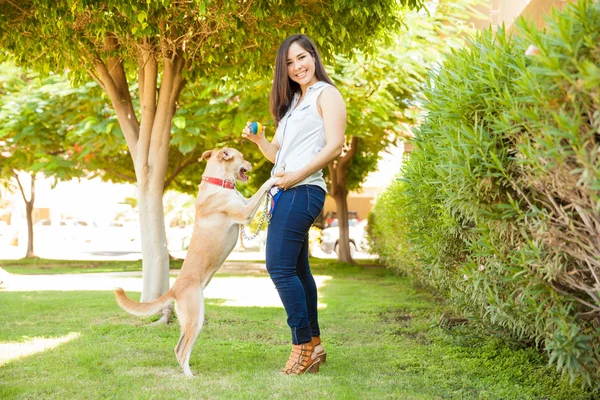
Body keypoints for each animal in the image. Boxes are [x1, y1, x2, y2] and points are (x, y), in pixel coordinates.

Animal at [115, 147, 278, 376]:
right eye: (243, 157)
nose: (252, 164)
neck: (219, 183)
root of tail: (174, 289)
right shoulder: (244, 213)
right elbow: (260, 190)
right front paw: (273, 178)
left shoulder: (244, 204)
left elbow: (251, 196)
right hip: (196, 318)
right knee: (183, 351)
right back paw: (190, 377)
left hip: (188, 319)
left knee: (177, 348)